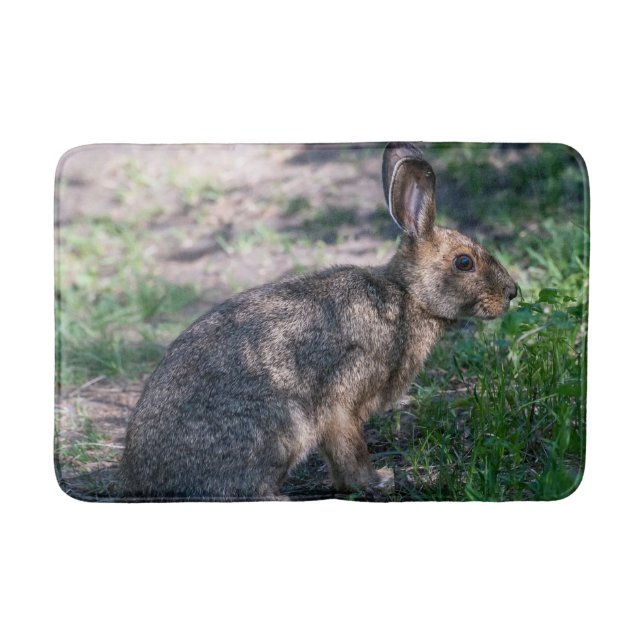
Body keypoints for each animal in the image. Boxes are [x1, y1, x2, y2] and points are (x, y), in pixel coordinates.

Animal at [119, 142, 518, 501]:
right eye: (464, 262)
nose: (512, 292)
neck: (407, 295)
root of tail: (144, 479)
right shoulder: (342, 398)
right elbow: (349, 449)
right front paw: (377, 481)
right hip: (281, 426)